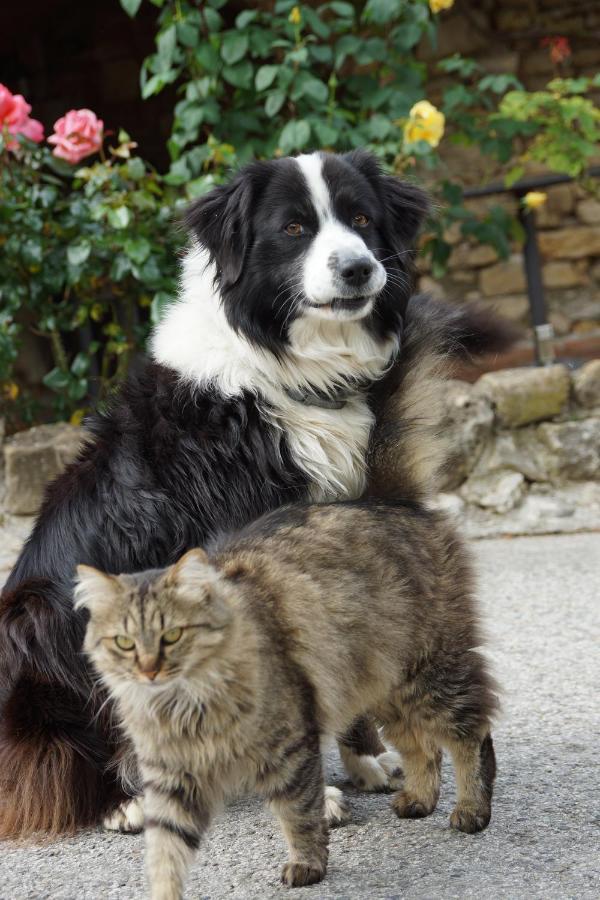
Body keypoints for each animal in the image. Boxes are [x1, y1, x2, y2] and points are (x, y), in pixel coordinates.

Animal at [0, 151, 510, 840]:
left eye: (360, 218)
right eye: (293, 228)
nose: (358, 268)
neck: (285, 371)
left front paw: (365, 762)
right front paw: (315, 790)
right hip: (41, 614)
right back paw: (124, 799)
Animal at [76, 502, 496, 896]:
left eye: (172, 636)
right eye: (124, 642)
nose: (148, 670)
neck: (185, 708)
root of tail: (395, 502)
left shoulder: (290, 749)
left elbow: (299, 816)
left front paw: (308, 864)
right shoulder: (170, 779)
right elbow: (165, 854)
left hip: (432, 674)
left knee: (470, 736)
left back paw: (472, 808)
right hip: (384, 686)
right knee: (422, 746)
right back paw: (420, 798)